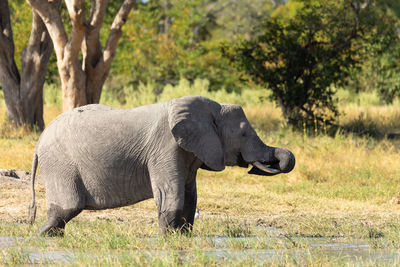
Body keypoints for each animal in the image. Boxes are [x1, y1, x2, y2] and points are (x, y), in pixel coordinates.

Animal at [28, 96, 296, 237]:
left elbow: (190, 196)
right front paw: (166, 239)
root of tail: (38, 142)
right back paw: (42, 236)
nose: (258, 166)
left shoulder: (189, 152)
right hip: (60, 163)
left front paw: (182, 238)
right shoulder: (165, 148)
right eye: (243, 134)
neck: (210, 108)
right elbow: (171, 194)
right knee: (68, 208)